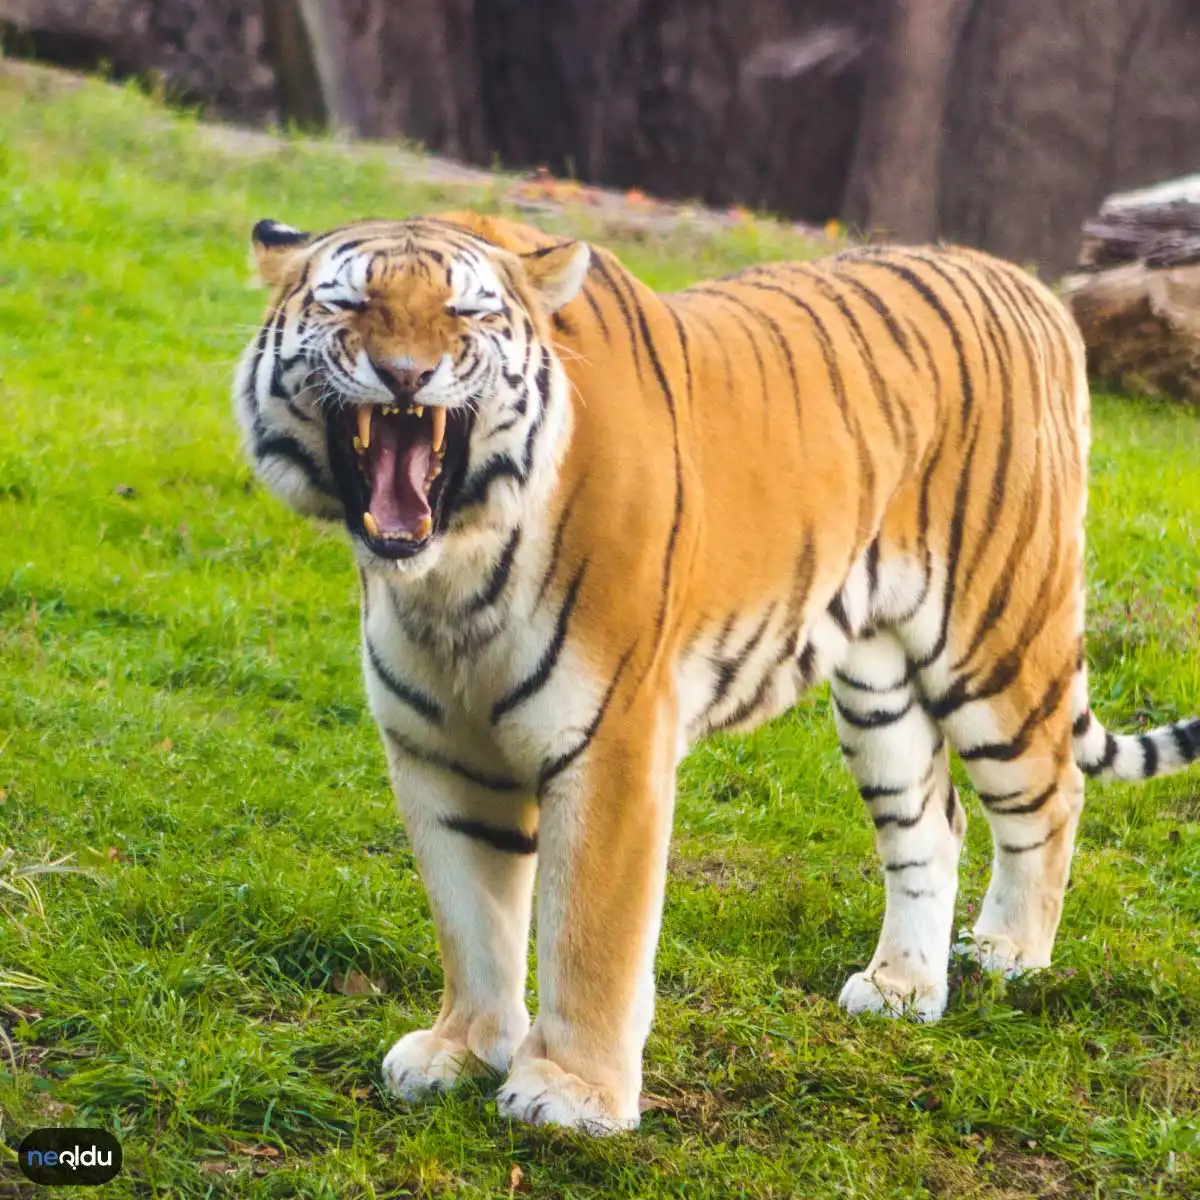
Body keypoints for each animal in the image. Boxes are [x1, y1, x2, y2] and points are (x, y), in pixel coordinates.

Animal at [234, 208, 1200, 1132]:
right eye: (349, 302)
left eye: (465, 312)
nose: (404, 375)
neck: (449, 577)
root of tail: (1032, 288)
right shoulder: (437, 749)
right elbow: (470, 918)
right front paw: (461, 1052)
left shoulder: (613, 739)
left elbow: (591, 932)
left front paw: (571, 1096)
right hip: (880, 688)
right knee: (932, 824)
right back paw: (902, 989)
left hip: (994, 634)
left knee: (1050, 792)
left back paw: (1008, 957)